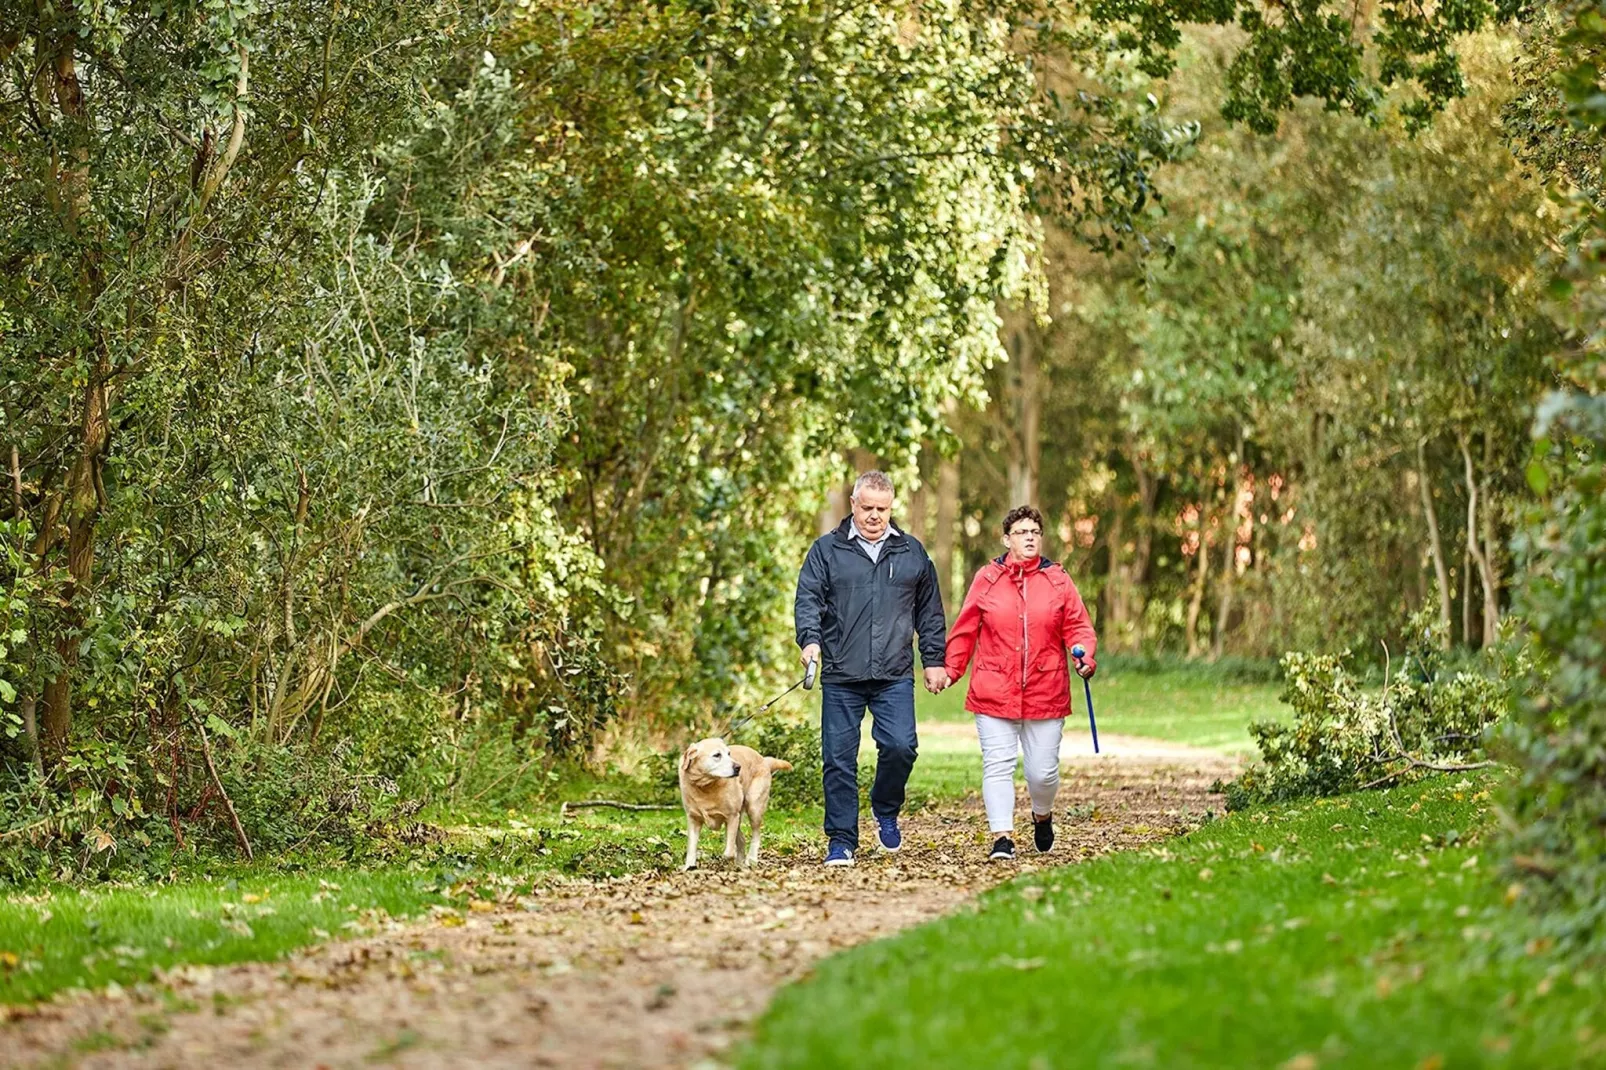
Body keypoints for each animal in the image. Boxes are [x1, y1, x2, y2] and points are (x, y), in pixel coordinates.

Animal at [677, 739, 790, 873]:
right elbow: (691, 847)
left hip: (754, 808)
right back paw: (740, 864)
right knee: (742, 839)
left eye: (729, 753)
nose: (738, 767)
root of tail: (763, 759)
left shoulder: (731, 817)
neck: (705, 787)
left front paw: (728, 862)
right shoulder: (694, 819)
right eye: (717, 755)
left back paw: (751, 859)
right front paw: (689, 866)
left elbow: (729, 853)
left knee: (756, 835)